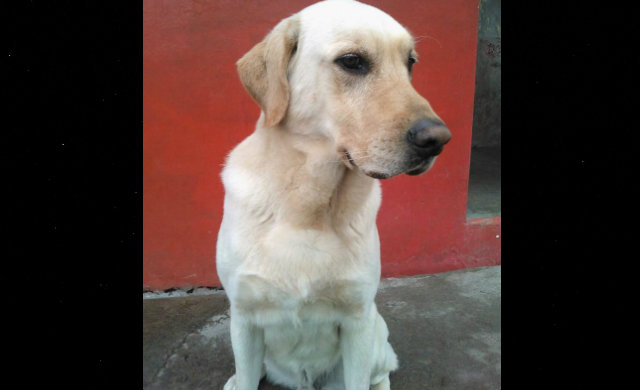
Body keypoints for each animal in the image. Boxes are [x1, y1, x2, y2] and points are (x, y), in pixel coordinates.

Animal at [218, 0, 452, 390]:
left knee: (382, 373)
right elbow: (248, 372)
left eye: (410, 63)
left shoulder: (357, 321)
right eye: (353, 61)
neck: (308, 206)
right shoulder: (244, 317)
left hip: (376, 337)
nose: (437, 140)